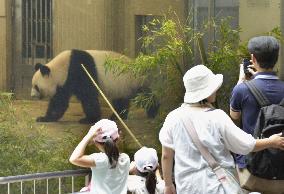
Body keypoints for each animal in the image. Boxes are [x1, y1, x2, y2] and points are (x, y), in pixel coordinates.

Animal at [32, 49, 160, 123]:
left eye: (36, 87)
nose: (32, 96)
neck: (63, 66)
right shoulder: (65, 82)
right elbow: (60, 101)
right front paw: (45, 118)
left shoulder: (80, 68)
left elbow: (88, 95)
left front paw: (89, 119)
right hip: (122, 86)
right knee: (121, 100)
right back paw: (117, 116)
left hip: (133, 81)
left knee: (145, 95)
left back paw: (153, 112)